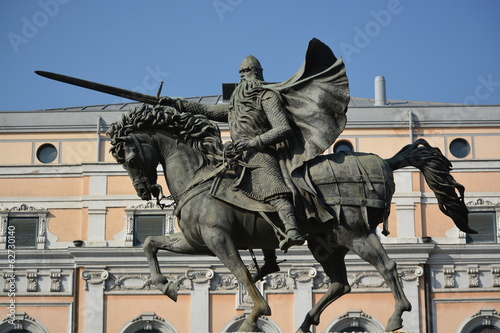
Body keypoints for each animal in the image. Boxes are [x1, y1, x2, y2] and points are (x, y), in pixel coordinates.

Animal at [105, 104, 472, 332]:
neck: (200, 176)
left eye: (130, 157)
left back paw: (396, 316)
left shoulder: (217, 239)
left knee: (388, 266)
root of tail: (385, 161)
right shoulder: (196, 242)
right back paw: (306, 322)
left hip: (355, 234)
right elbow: (151, 244)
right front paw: (165, 285)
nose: (144, 190)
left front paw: (256, 314)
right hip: (326, 244)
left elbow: (241, 274)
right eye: (120, 160)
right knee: (341, 283)